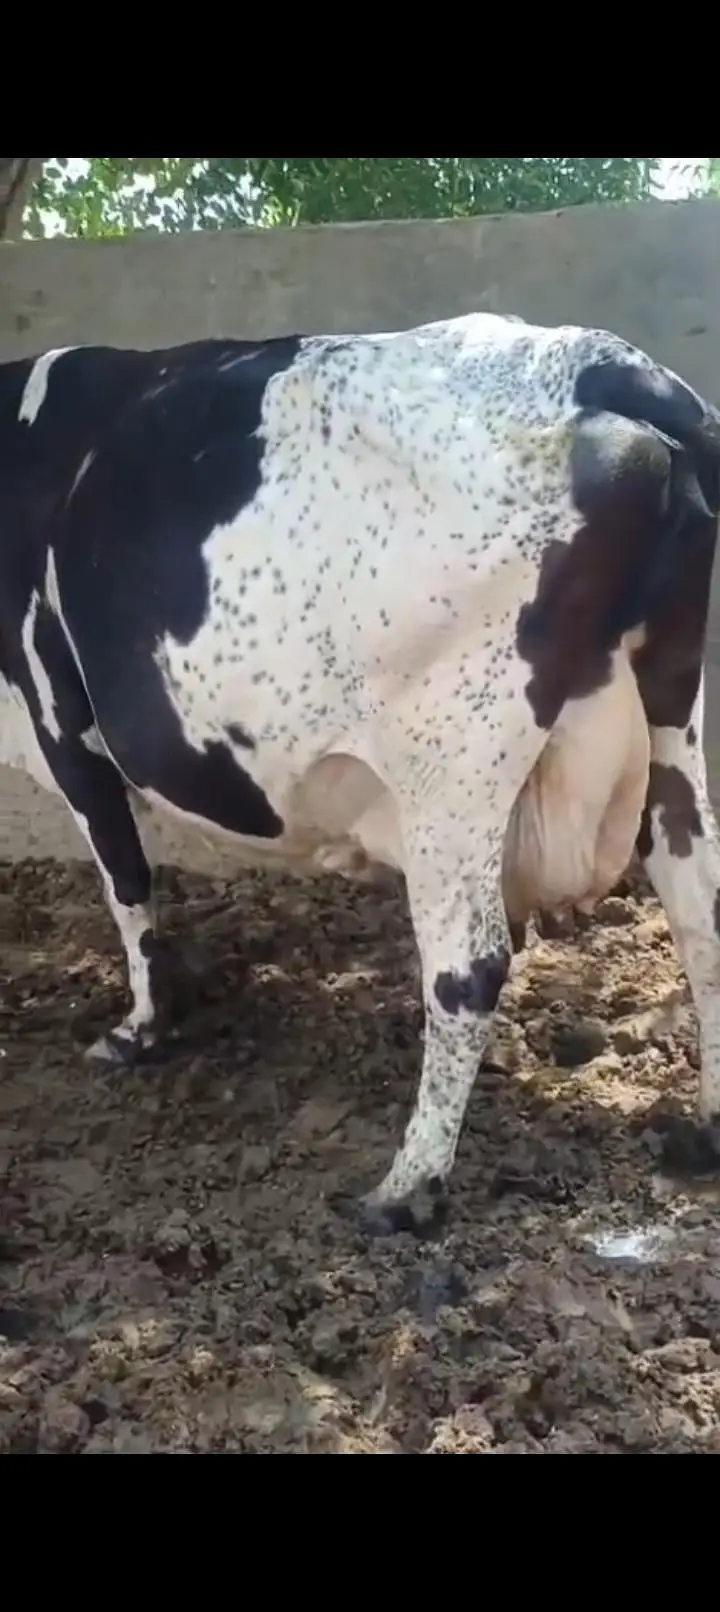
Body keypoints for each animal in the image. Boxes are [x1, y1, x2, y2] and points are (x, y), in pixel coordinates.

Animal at [1, 314, 720, 1236]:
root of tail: (600, 362)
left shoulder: (59, 715)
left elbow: (126, 880)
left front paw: (140, 1030)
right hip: (670, 708)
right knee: (699, 906)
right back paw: (707, 1129)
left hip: (455, 757)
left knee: (468, 968)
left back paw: (406, 1188)